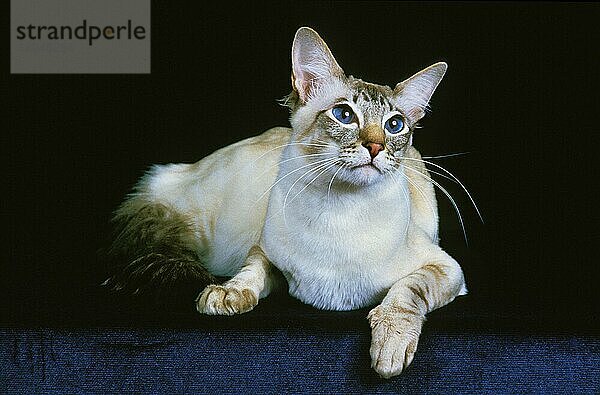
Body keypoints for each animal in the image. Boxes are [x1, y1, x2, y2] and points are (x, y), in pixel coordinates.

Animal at [104, 26, 468, 378]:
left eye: (395, 125)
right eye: (344, 114)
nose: (376, 147)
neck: (340, 212)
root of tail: (179, 170)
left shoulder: (446, 270)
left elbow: (406, 293)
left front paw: (390, 349)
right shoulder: (267, 255)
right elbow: (251, 272)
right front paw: (226, 294)